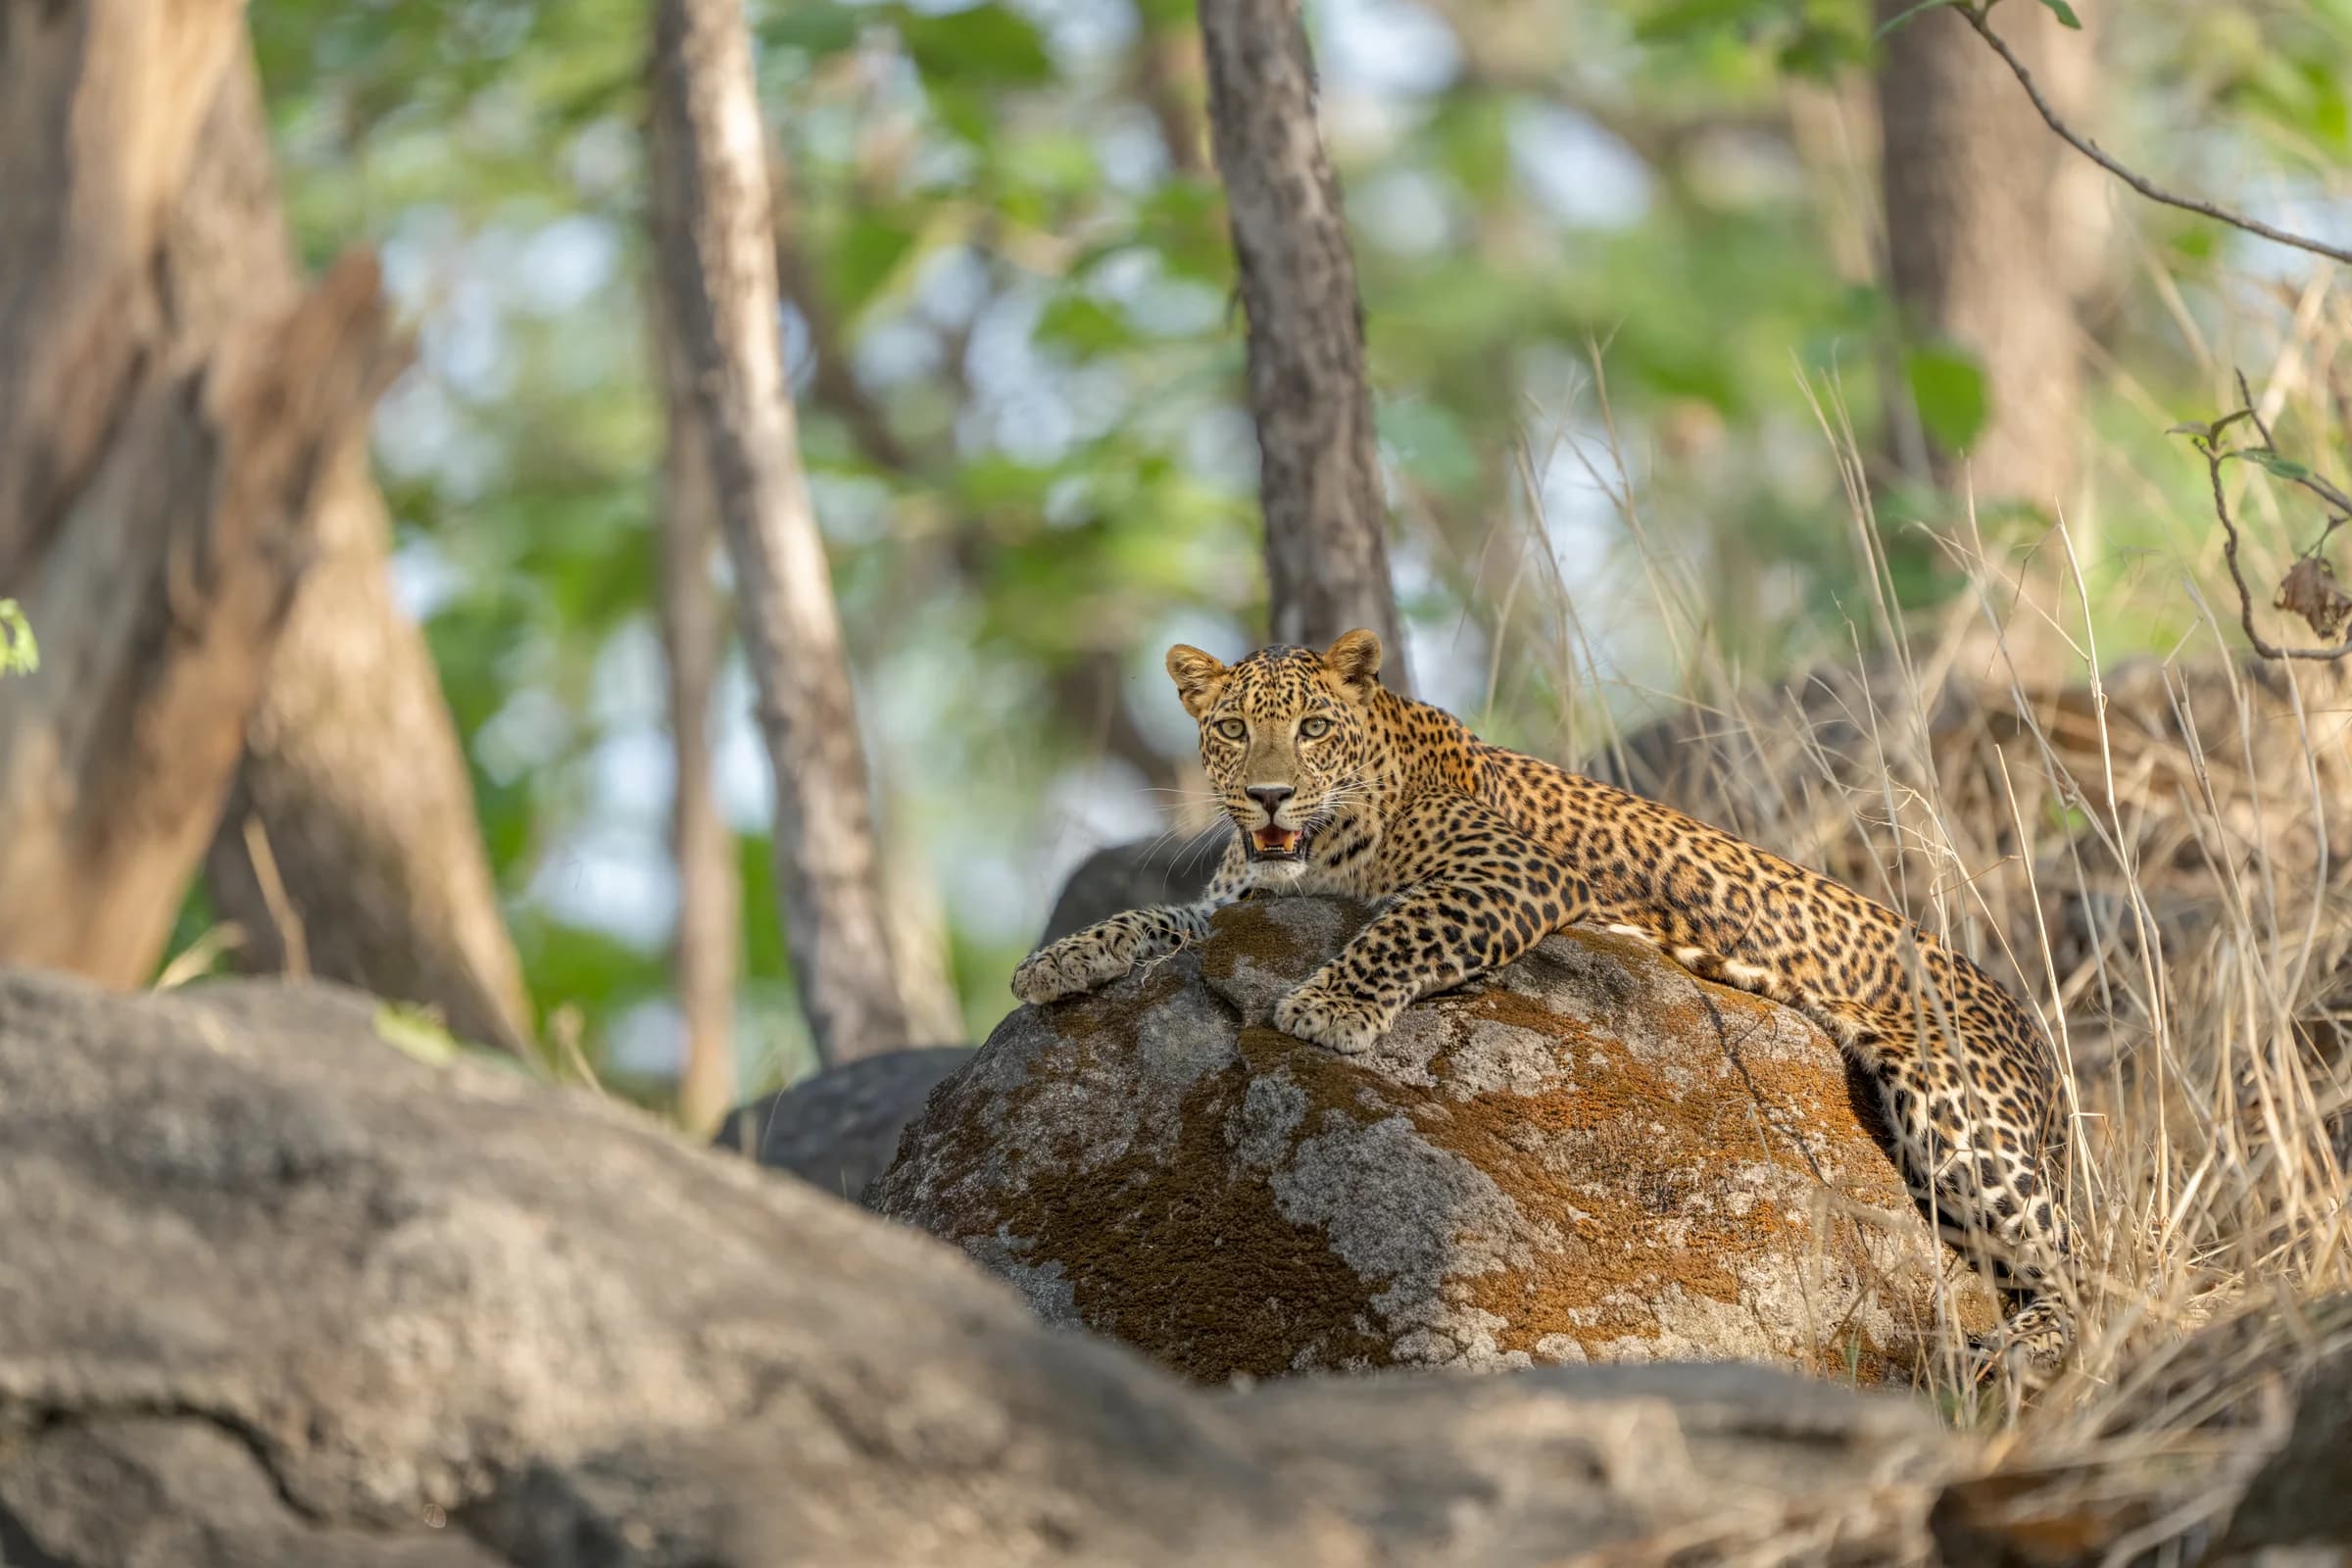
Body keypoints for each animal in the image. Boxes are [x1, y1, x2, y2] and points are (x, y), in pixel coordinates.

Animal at [1012, 630, 2076, 1373]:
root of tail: (2022, 1018)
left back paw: (2027, 1346)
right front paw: (1059, 959)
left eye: (1312, 728)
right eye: (1233, 729)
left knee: (2070, 1263)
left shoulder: (1511, 872)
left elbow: (1402, 925)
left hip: (1960, 1112)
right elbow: (1159, 918)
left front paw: (1330, 1009)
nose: (1270, 796)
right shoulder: (1231, 902)